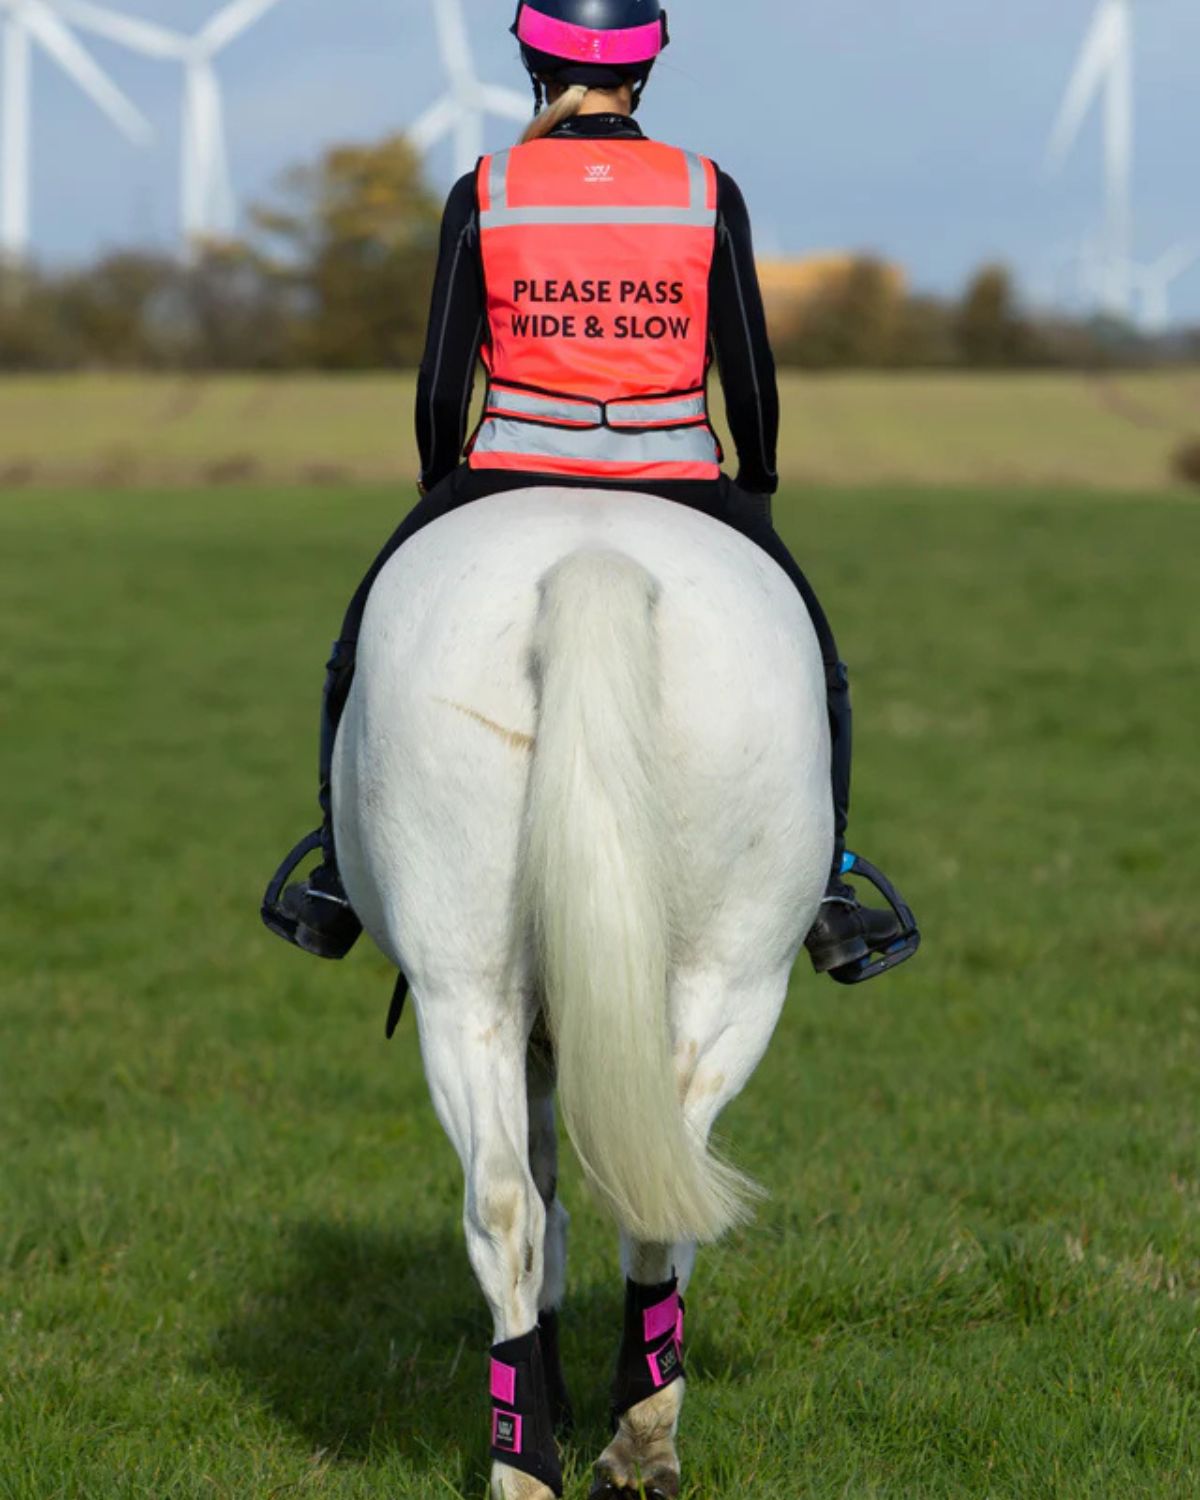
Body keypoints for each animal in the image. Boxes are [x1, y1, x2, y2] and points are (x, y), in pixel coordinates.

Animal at [332, 486, 832, 1500]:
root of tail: (593, 561)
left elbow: (546, 1191)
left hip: (468, 994)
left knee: (511, 1202)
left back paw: (534, 1459)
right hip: (733, 984)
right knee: (622, 1202)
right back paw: (628, 1442)